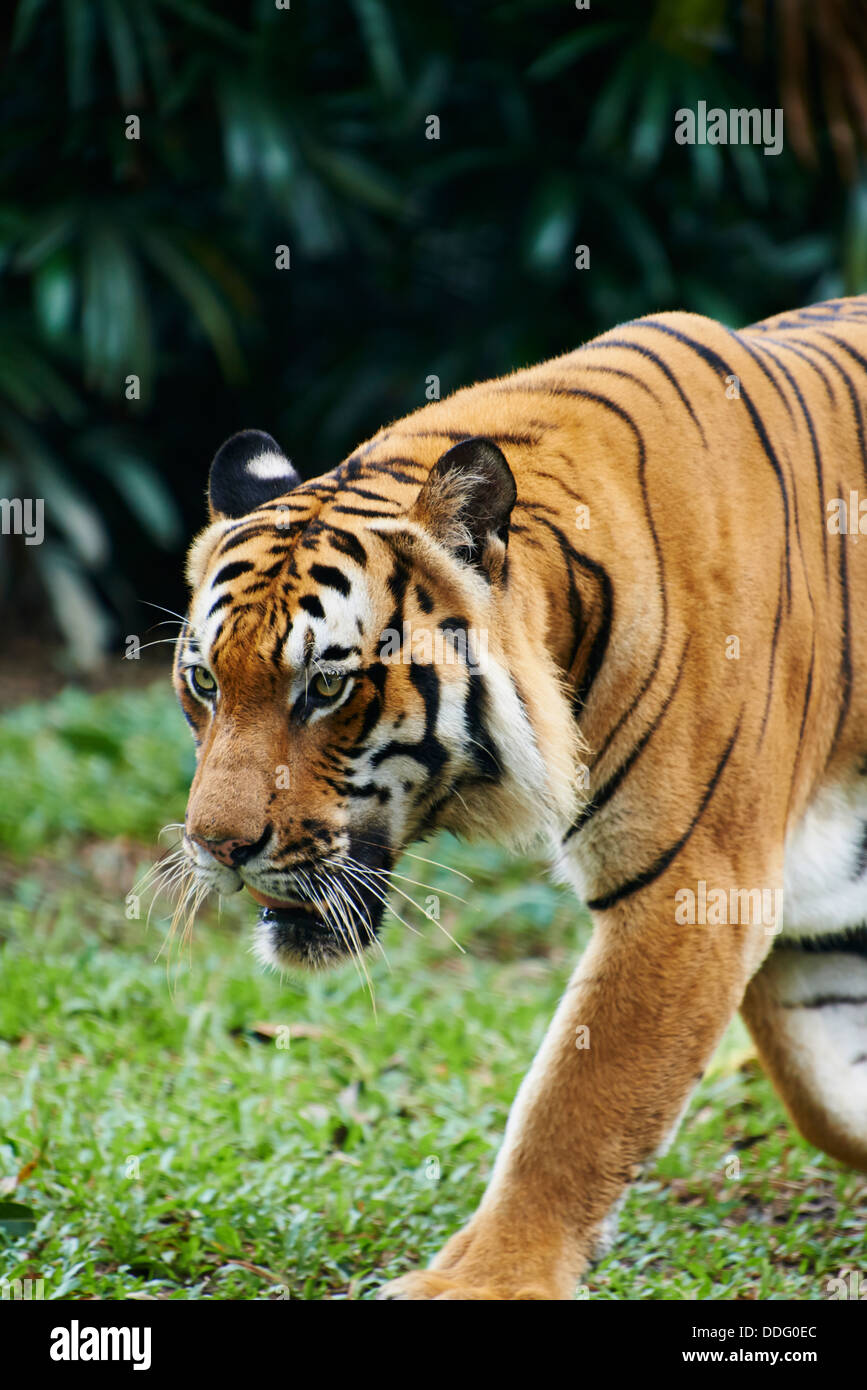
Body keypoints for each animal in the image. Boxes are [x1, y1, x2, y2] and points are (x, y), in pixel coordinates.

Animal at [174, 296, 867, 1301]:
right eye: (204, 682)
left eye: (326, 688)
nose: (215, 847)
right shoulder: (808, 905)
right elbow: (829, 1095)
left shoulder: (696, 889)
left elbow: (577, 1107)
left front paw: (484, 1280)